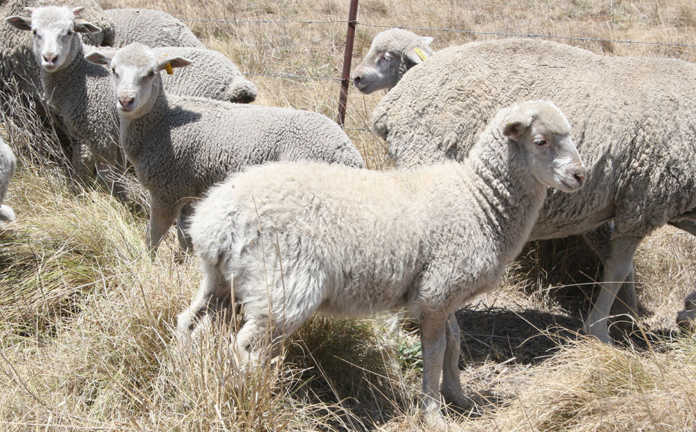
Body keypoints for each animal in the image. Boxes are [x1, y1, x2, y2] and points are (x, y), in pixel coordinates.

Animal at [6, 6, 258, 180]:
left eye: (69, 32)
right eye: (35, 31)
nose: (50, 58)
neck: (80, 72)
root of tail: (236, 82)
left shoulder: (99, 133)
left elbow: (94, 173)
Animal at [85, 42, 365, 253]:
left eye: (151, 73)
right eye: (113, 70)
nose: (125, 100)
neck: (163, 122)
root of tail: (349, 154)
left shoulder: (166, 191)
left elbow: (152, 238)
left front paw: (151, 268)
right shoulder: (190, 191)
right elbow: (185, 238)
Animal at [176, 100, 586, 428]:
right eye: (541, 141)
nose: (580, 175)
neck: (479, 201)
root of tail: (214, 220)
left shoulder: (442, 292)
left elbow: (454, 345)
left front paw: (460, 398)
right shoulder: (438, 291)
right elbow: (434, 354)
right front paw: (434, 414)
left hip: (220, 280)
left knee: (190, 322)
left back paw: (184, 370)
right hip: (283, 285)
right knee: (245, 347)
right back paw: (258, 393)